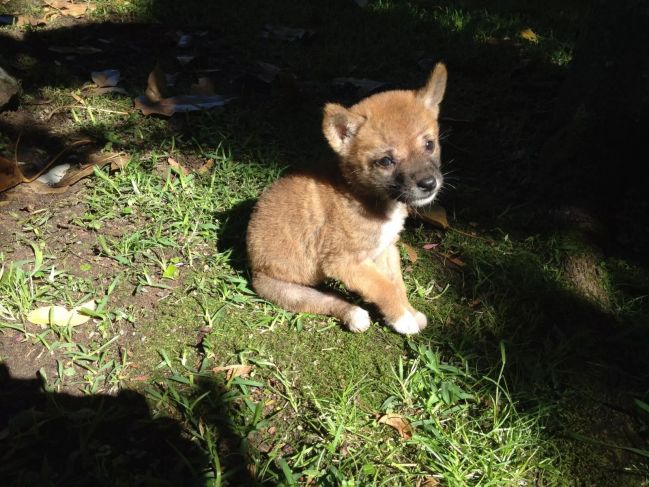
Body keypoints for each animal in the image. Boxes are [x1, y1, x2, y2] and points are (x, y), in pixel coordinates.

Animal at [246, 63, 448, 336]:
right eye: (386, 161)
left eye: (429, 144)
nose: (429, 184)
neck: (367, 197)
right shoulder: (345, 263)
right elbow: (384, 288)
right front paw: (403, 319)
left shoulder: (386, 249)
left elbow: (396, 284)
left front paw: (409, 312)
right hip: (286, 290)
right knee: (325, 300)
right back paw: (353, 314)